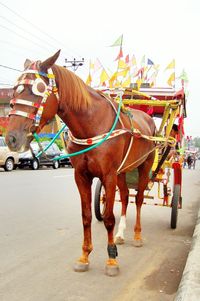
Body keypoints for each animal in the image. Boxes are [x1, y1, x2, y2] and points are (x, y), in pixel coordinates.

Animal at [5, 50, 156, 276]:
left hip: (144, 166)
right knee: (125, 197)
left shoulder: (108, 175)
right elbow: (86, 216)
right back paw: (121, 234)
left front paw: (112, 259)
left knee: (137, 199)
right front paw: (84, 255)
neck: (91, 125)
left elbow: (108, 218)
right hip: (122, 171)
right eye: (15, 89)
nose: (11, 139)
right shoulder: (81, 176)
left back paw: (137, 236)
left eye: (38, 90)